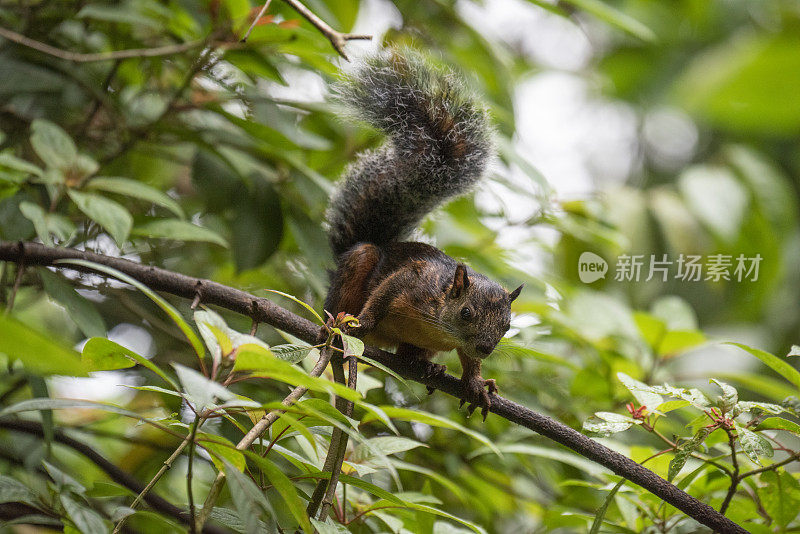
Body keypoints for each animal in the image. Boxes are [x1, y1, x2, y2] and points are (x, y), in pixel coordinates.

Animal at [322, 48, 520, 420]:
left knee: (410, 353)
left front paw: (475, 382)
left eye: (507, 325)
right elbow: (384, 294)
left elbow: (468, 359)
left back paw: (426, 364)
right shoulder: (413, 280)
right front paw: (363, 322)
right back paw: (340, 323)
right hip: (356, 269)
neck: (440, 325)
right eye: (466, 313)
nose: (486, 347)